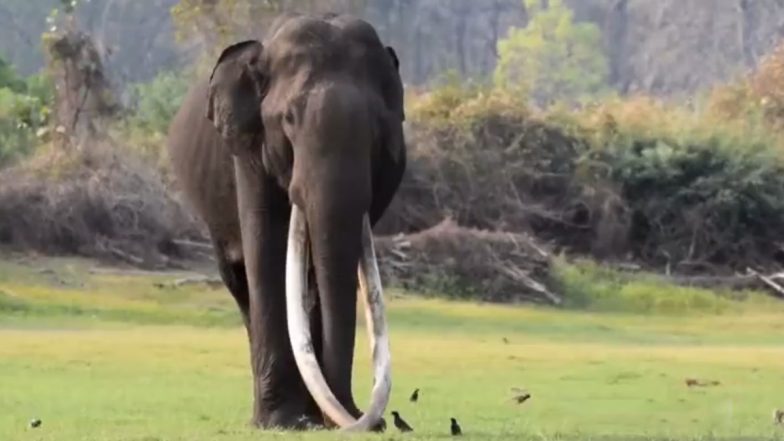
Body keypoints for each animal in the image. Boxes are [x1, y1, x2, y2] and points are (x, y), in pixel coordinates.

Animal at [168, 12, 408, 430]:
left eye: (378, 129)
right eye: (289, 120)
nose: (366, 420)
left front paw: (322, 418)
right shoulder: (248, 148)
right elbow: (267, 250)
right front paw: (282, 421)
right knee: (240, 281)